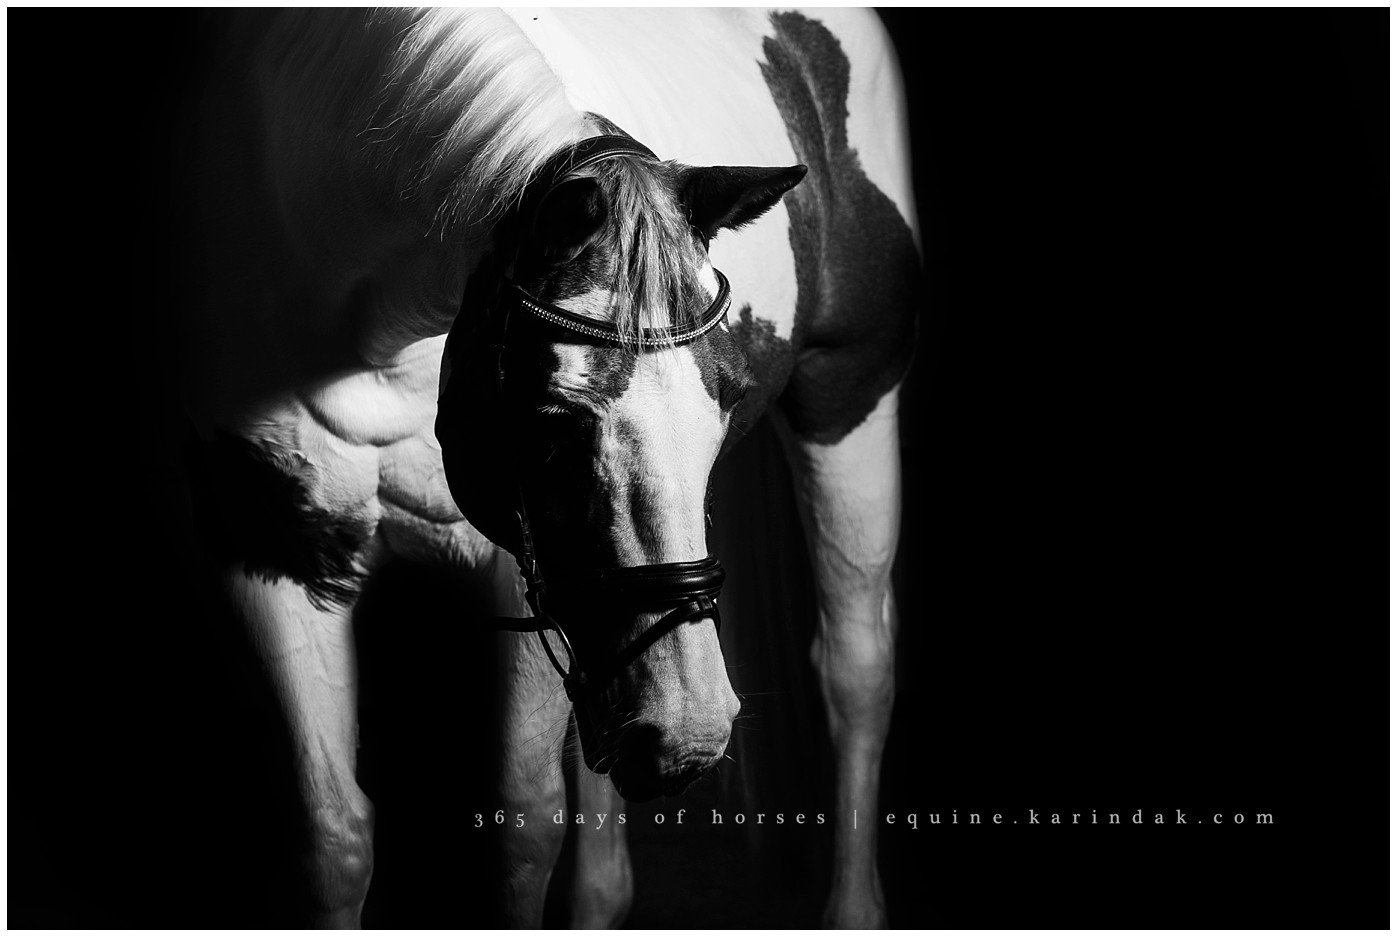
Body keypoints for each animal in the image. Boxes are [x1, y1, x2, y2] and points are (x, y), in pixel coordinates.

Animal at [171, 7, 919, 928]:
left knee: (854, 669)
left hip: (851, 398)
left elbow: (522, 826)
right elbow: (333, 840)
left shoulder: (511, 558)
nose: (695, 732)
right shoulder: (268, 541)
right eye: (555, 421)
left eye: (723, 410)